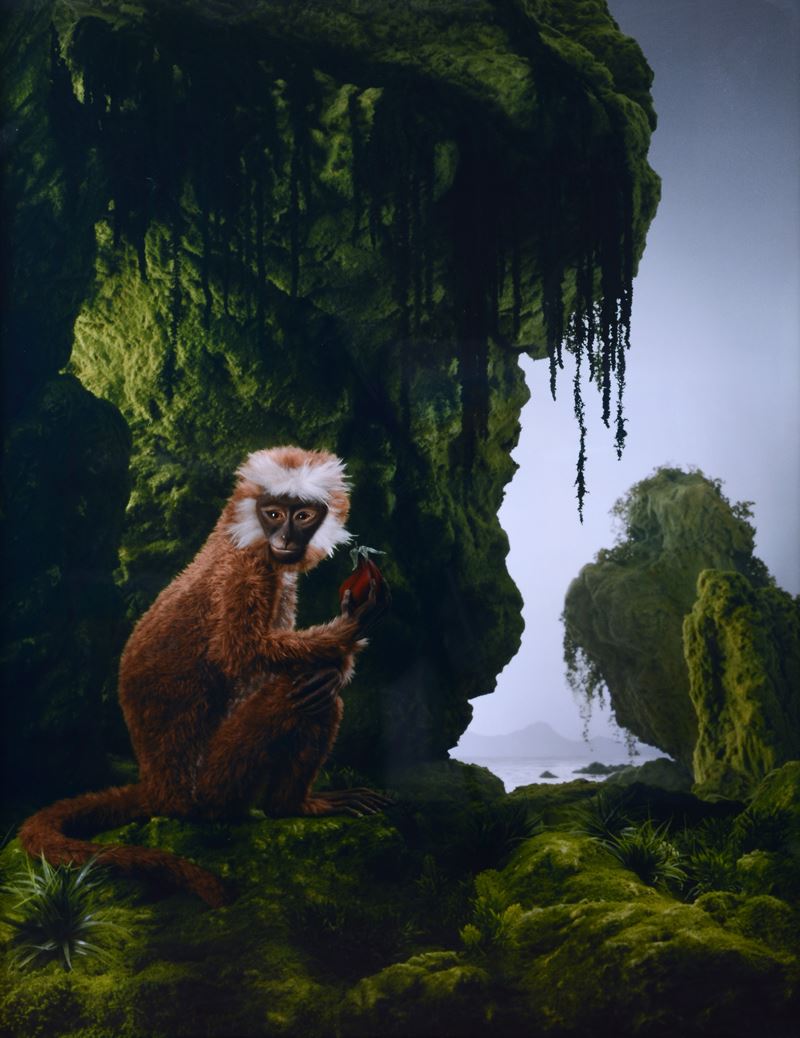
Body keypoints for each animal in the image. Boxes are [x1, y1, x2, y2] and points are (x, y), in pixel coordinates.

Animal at [19, 446, 390, 907]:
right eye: (273, 514)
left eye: (302, 516)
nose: (285, 539)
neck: (238, 538)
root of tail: (157, 787)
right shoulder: (247, 572)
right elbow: (243, 652)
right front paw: (346, 638)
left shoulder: (278, 577)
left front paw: (337, 666)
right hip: (214, 787)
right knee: (305, 701)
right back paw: (290, 805)